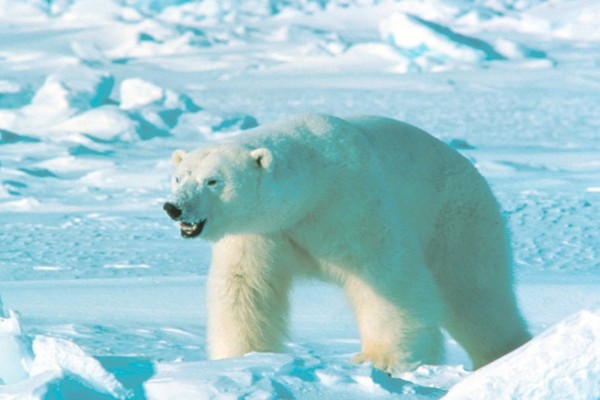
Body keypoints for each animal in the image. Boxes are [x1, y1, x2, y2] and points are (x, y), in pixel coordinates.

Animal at [163, 113, 528, 372]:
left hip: (457, 219)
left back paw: (504, 355)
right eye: (179, 178)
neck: (311, 190)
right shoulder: (261, 231)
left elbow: (387, 276)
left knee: (475, 293)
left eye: (213, 181)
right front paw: (240, 357)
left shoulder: (351, 202)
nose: (174, 207)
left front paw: (381, 359)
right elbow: (245, 285)